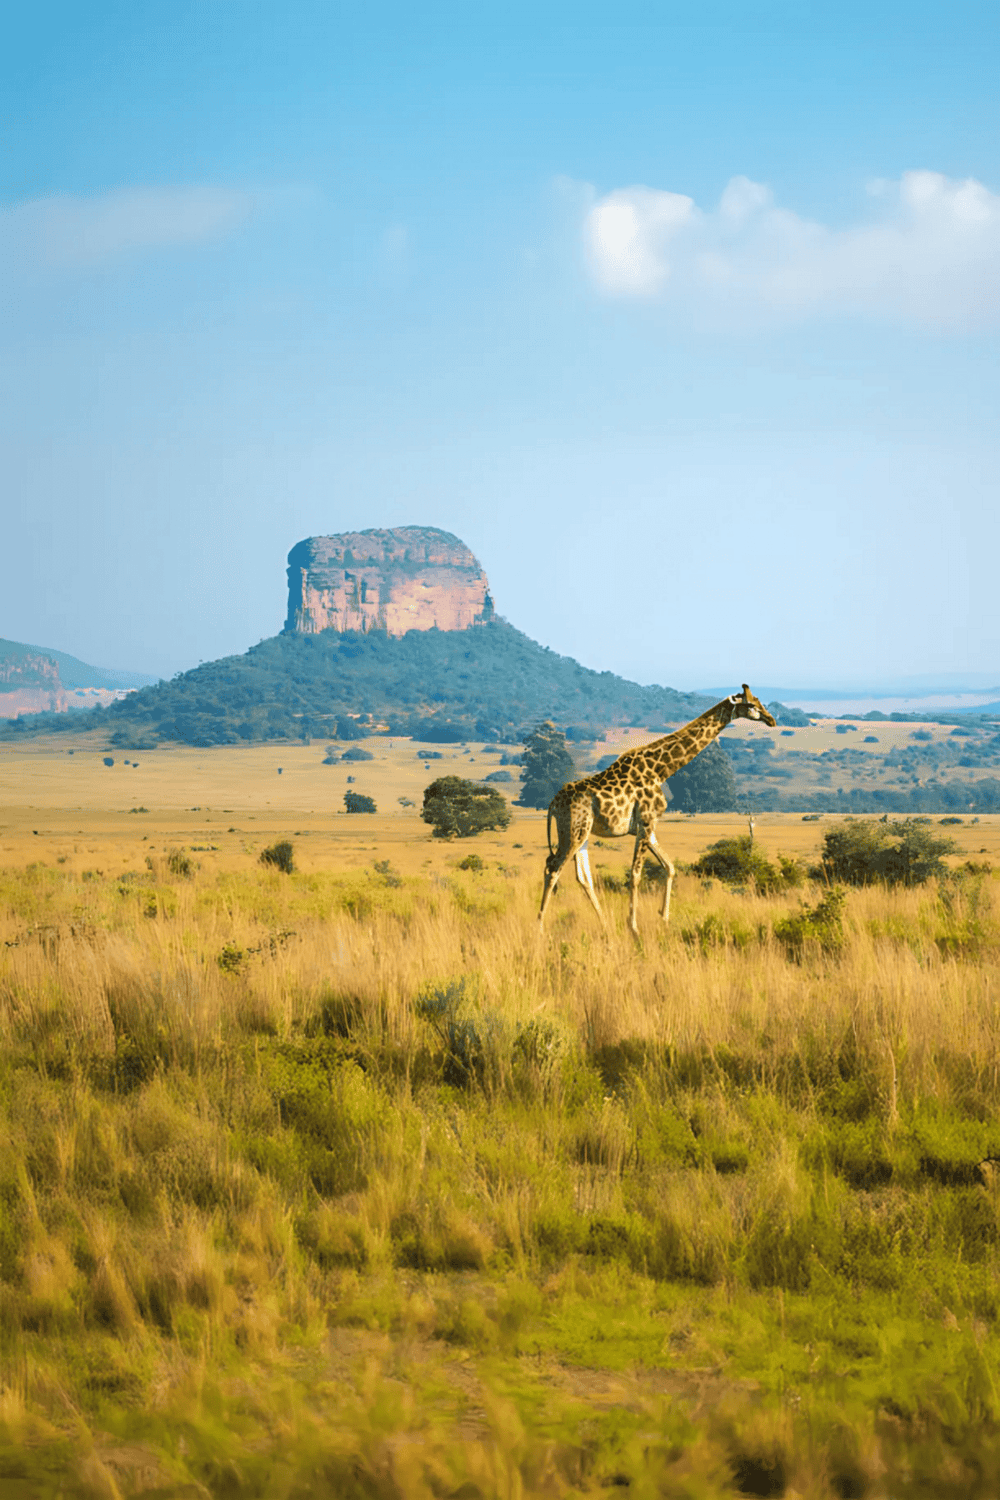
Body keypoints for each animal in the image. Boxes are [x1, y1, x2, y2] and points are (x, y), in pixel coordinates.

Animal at [539, 685, 777, 936]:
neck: (661, 770)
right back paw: (540, 928)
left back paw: (605, 926)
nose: (771, 720)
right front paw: (634, 928)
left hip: (581, 833)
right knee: (553, 869)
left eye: (759, 701)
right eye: (751, 705)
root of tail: (553, 804)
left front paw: (664, 919)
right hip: (573, 831)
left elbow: (669, 867)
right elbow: (635, 874)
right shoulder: (646, 821)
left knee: (583, 877)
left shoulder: (647, 827)